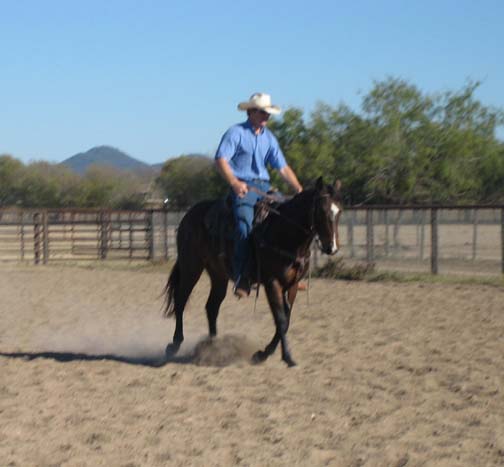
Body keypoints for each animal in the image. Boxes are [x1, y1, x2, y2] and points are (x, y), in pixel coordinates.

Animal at [164, 177, 342, 368]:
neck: (284, 233)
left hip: (218, 274)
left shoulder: (292, 285)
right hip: (191, 266)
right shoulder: (272, 283)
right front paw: (285, 356)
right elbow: (280, 319)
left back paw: (214, 346)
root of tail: (189, 215)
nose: (331, 247)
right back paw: (175, 344)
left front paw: (264, 354)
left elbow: (286, 319)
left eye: (339, 211)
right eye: (322, 211)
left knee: (212, 306)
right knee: (181, 300)